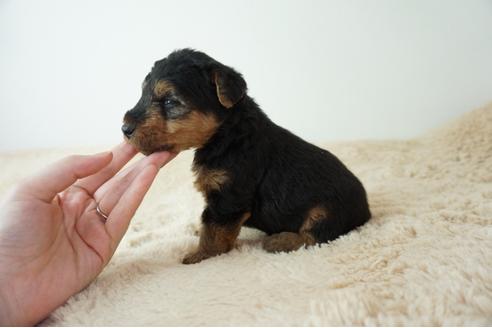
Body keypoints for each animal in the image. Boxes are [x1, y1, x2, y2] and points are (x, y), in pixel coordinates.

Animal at [121, 48, 370, 264]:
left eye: (170, 101)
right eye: (143, 94)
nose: (125, 128)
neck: (226, 135)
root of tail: (366, 209)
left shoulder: (229, 196)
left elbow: (214, 231)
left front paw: (199, 255)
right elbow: (208, 222)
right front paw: (198, 234)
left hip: (329, 209)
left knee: (317, 235)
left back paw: (280, 240)